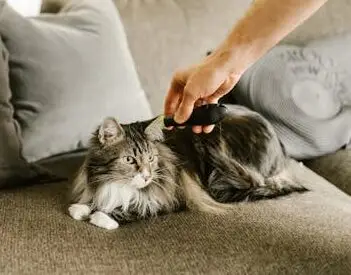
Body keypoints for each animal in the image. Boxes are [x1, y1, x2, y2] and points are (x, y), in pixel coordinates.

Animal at [67, 104, 306, 230]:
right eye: (129, 160)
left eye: (151, 158)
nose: (146, 176)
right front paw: (81, 208)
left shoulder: (173, 195)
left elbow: (137, 206)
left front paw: (102, 216)